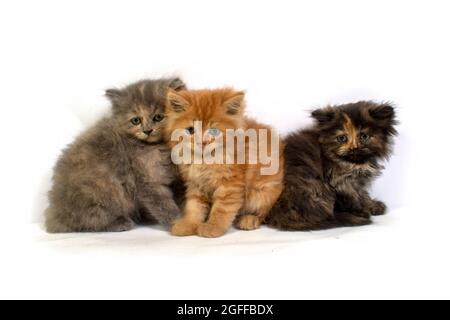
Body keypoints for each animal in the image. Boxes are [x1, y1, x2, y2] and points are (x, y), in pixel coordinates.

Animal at [45, 77, 186, 232]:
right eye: (136, 120)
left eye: (158, 117)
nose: (147, 130)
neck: (155, 146)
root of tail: (54, 214)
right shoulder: (149, 181)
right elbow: (164, 205)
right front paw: (178, 223)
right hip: (103, 191)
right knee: (91, 221)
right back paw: (121, 223)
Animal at [165, 87, 284, 238]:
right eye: (190, 130)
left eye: (214, 131)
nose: (202, 142)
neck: (204, 161)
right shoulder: (195, 185)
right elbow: (194, 207)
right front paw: (188, 224)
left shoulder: (230, 185)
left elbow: (221, 209)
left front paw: (212, 227)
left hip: (263, 192)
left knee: (264, 212)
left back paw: (249, 219)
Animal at [268, 102, 398, 230]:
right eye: (342, 138)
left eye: (364, 136)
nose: (354, 148)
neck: (353, 164)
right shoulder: (339, 181)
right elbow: (352, 198)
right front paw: (360, 211)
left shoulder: (356, 182)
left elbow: (362, 194)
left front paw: (372, 206)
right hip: (313, 186)